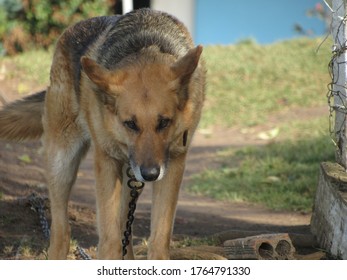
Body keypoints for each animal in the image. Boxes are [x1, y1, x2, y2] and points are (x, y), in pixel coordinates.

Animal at [0, 8, 207, 260]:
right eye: (130, 124)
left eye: (164, 122)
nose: (150, 174)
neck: (144, 45)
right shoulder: (106, 162)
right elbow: (108, 241)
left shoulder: (173, 165)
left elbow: (158, 241)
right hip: (62, 163)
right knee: (61, 231)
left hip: (128, 177)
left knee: (125, 229)